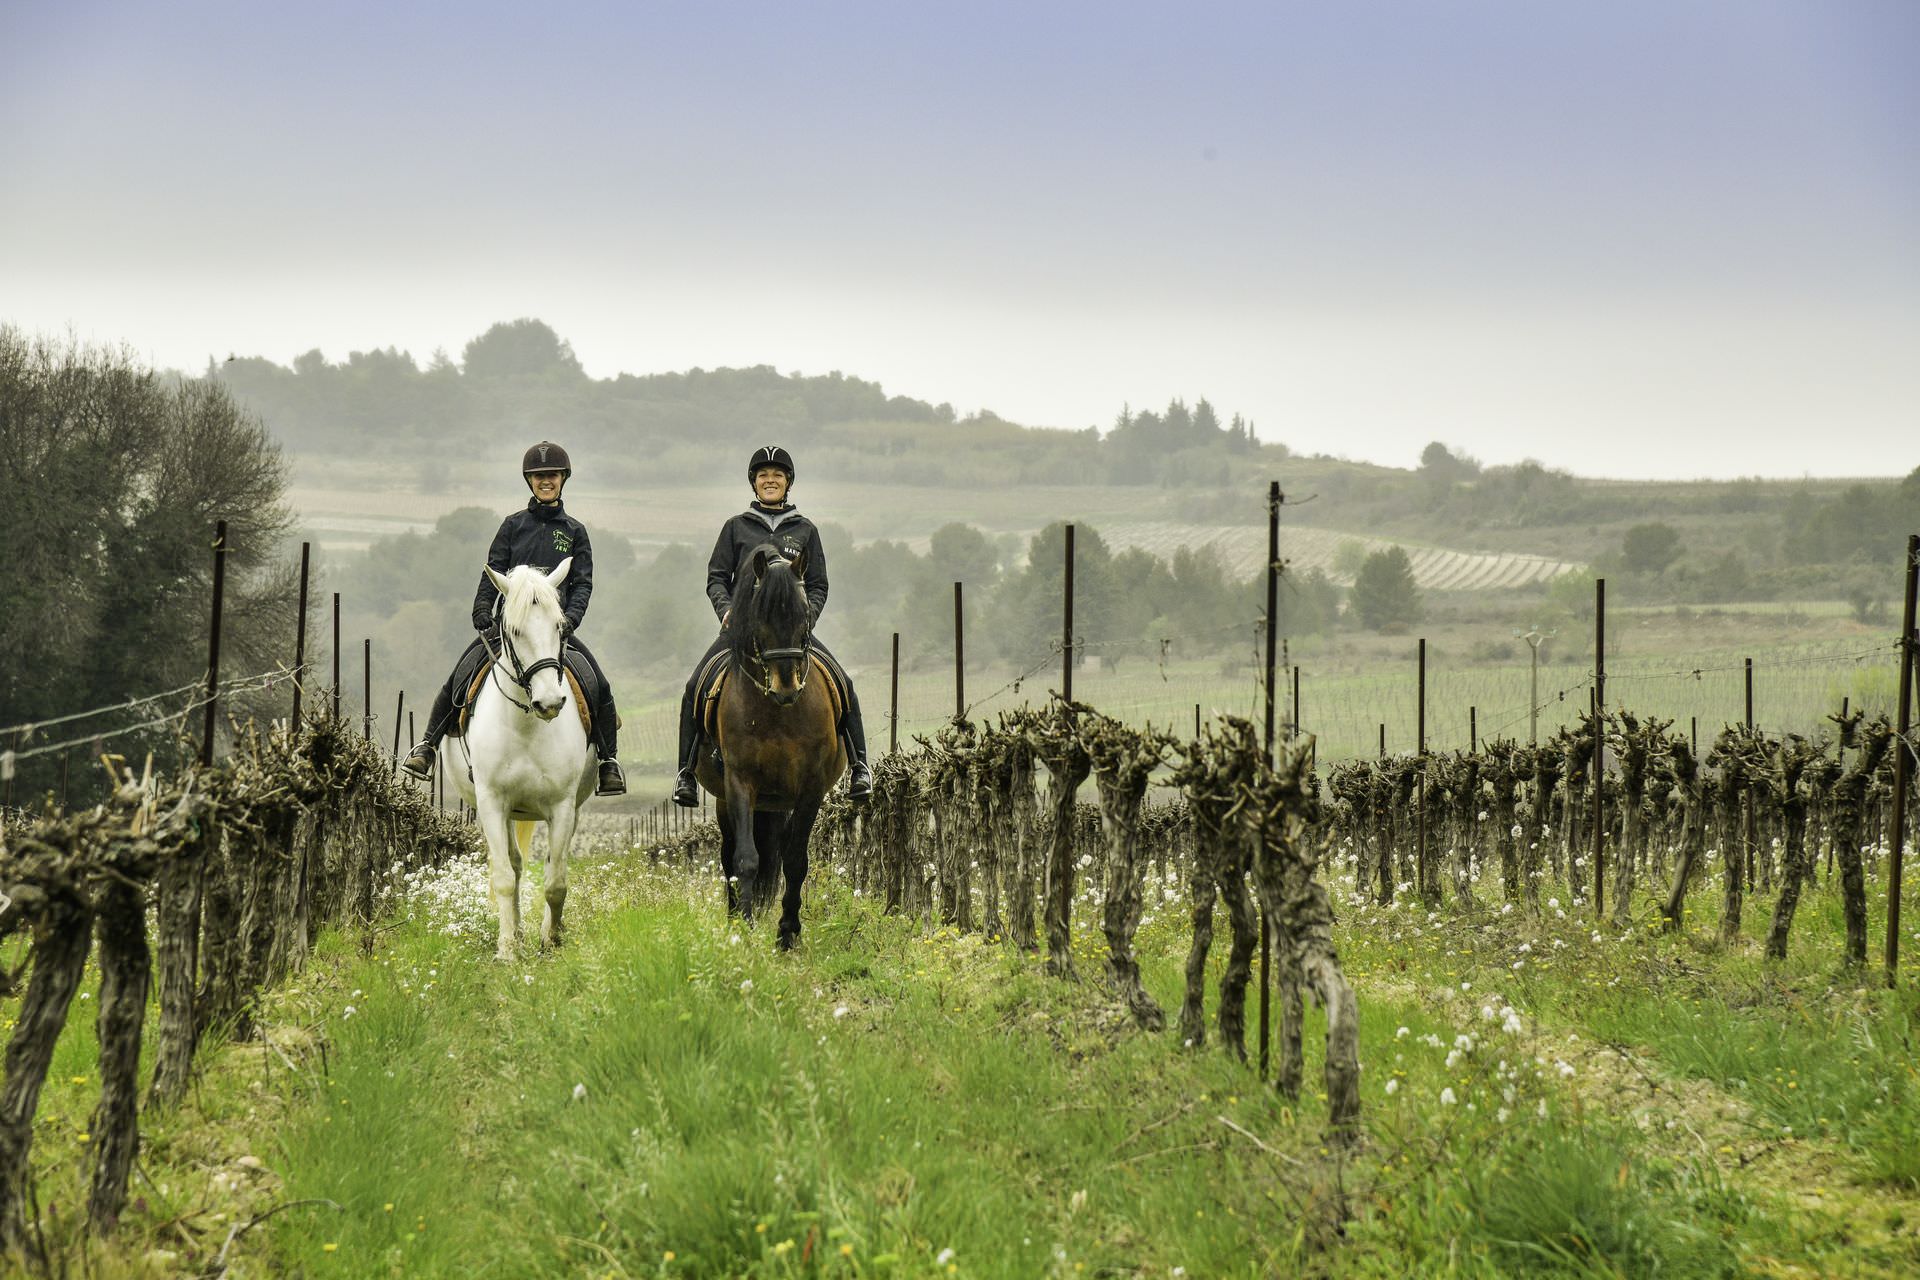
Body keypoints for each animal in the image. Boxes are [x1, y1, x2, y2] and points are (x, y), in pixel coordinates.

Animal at [445, 560, 595, 959]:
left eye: (559, 626)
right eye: (513, 629)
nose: (550, 703)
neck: (527, 725)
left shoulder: (562, 806)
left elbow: (556, 881)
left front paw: (552, 939)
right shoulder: (492, 803)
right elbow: (504, 878)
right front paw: (508, 949)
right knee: (512, 865)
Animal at [691, 541, 840, 951]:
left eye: (805, 616)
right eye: (760, 617)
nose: (786, 687)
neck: (777, 713)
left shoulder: (810, 788)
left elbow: (796, 860)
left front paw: (788, 933)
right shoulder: (741, 783)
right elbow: (745, 859)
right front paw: (742, 928)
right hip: (727, 801)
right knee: (728, 857)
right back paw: (732, 918)